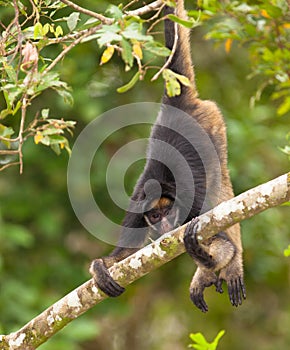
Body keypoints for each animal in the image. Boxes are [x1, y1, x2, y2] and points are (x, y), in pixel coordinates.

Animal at [89, 0, 246, 312]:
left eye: (168, 212)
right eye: (154, 216)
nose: (162, 225)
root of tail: (177, 105)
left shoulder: (191, 201)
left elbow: (222, 240)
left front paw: (209, 260)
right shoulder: (137, 205)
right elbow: (126, 253)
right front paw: (102, 265)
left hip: (214, 124)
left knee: (222, 187)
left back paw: (232, 266)